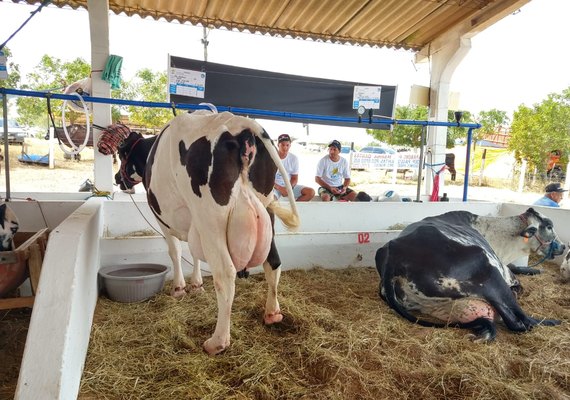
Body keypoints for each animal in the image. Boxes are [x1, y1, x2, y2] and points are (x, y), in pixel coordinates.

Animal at [115, 110, 298, 354]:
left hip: (211, 218)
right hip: (266, 211)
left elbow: (174, 252)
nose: (117, 178)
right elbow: (194, 254)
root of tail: (240, 124)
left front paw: (179, 288)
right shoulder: (193, 224)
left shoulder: (164, 220)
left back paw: (217, 341)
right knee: (274, 263)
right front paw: (197, 284)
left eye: (121, 153)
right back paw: (272, 313)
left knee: (225, 274)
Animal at [372, 208, 564, 342]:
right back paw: (553, 322)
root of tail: (392, 254)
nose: (563, 247)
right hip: (491, 277)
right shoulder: (505, 273)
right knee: (520, 321)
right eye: (549, 225)